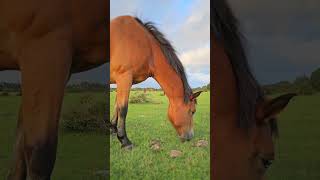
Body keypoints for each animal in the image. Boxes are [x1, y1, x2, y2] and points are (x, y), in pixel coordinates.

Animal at [110, 15, 202, 148]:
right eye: (193, 111)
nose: (190, 137)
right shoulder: (124, 77)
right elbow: (122, 109)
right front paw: (125, 141)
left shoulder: (121, 81)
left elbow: (116, 107)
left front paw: (113, 131)